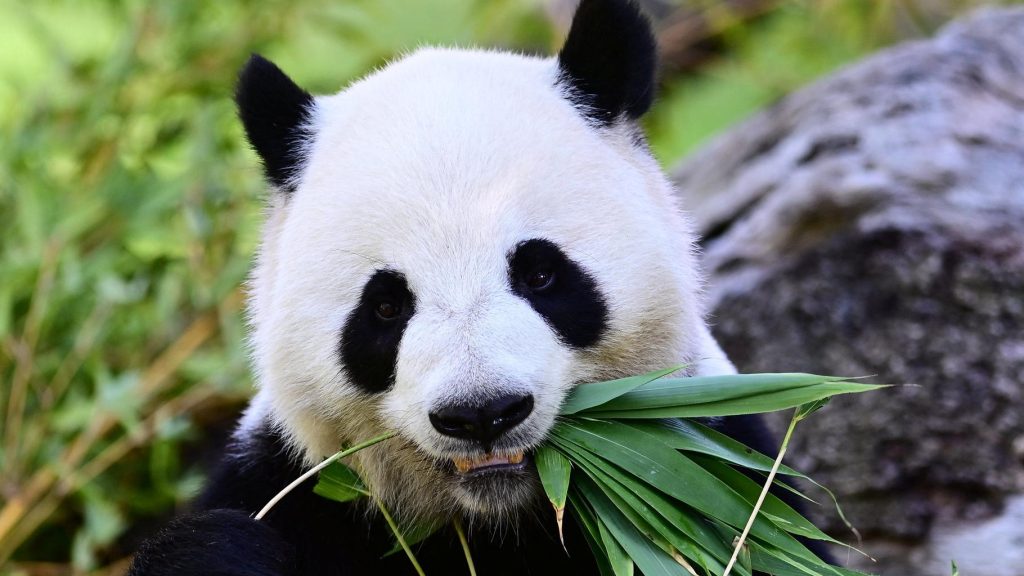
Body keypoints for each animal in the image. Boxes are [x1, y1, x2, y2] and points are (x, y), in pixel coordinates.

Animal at [127, 1, 805, 574]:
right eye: (385, 306)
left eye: (540, 274)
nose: (481, 413)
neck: (497, 516)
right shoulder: (296, 480)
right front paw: (217, 551)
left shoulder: (716, 467)